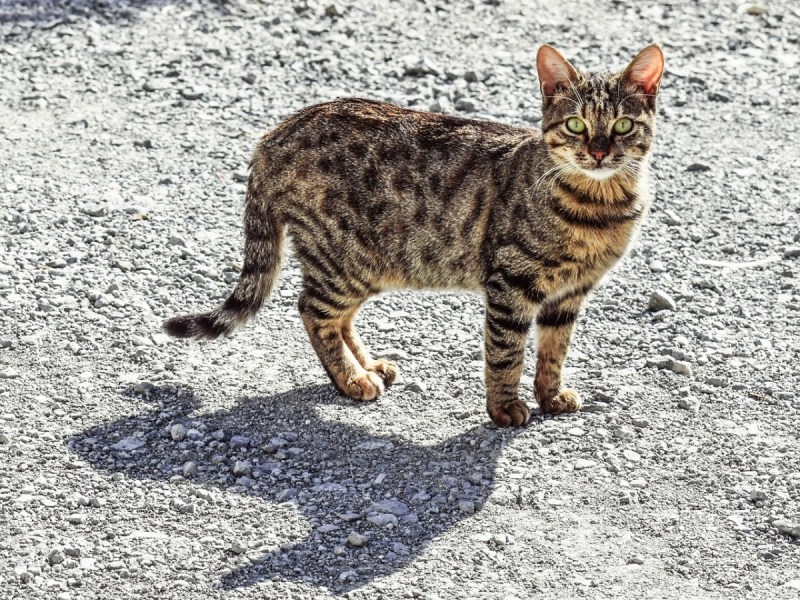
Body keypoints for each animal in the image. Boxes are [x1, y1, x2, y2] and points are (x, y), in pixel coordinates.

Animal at [162, 43, 664, 426]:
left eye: (622, 125)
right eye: (576, 124)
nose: (598, 152)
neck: (599, 207)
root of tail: (276, 132)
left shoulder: (570, 294)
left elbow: (553, 351)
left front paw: (551, 395)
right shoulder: (510, 284)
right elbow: (505, 354)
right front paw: (505, 408)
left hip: (367, 263)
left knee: (338, 317)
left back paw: (368, 365)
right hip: (345, 259)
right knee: (311, 310)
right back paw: (352, 379)